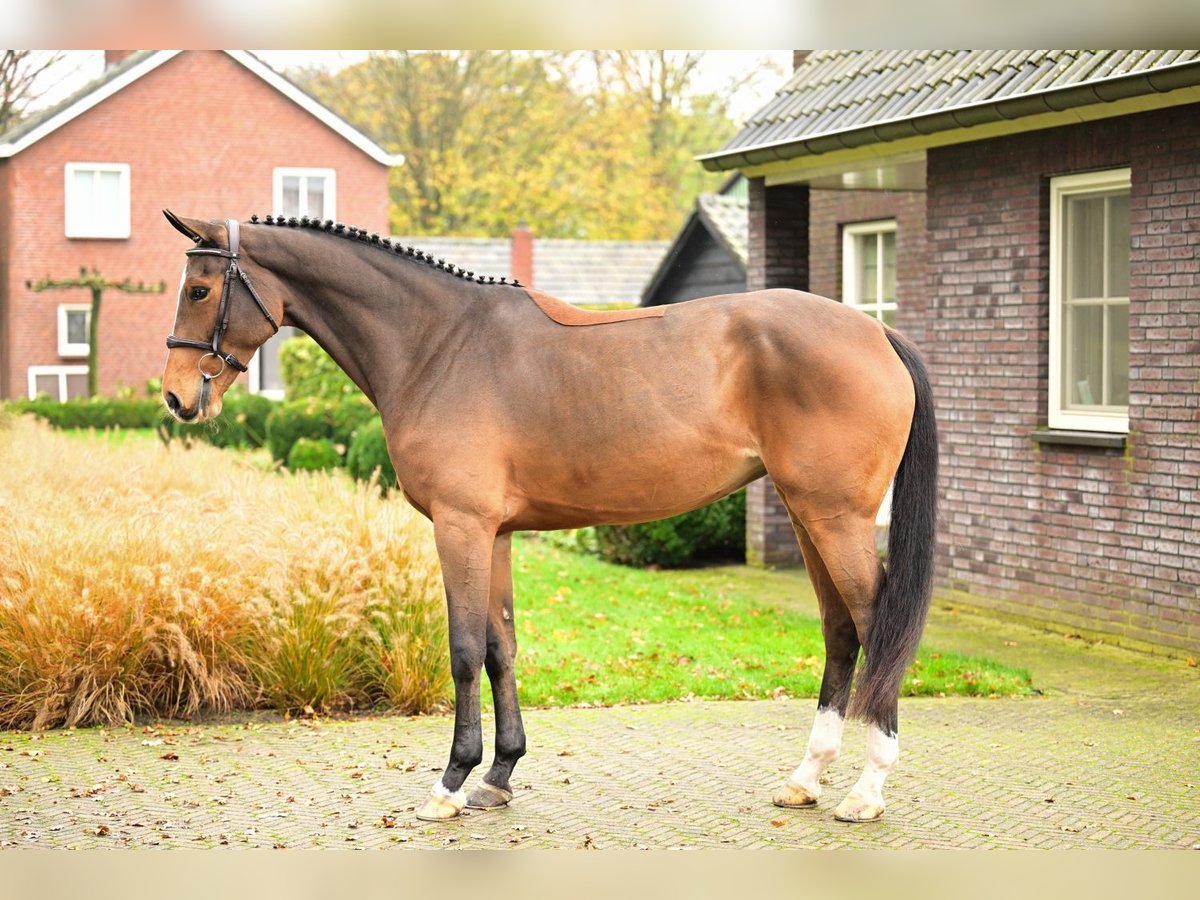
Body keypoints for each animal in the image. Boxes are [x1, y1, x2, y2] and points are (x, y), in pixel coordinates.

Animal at [162, 211, 936, 825]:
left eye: (200, 289)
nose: (174, 398)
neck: (437, 343)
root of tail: (877, 332)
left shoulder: (460, 526)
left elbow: (463, 650)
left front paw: (450, 783)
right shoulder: (496, 534)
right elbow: (501, 647)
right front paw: (498, 776)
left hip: (835, 519)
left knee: (875, 623)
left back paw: (866, 791)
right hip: (807, 518)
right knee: (841, 632)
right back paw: (805, 779)